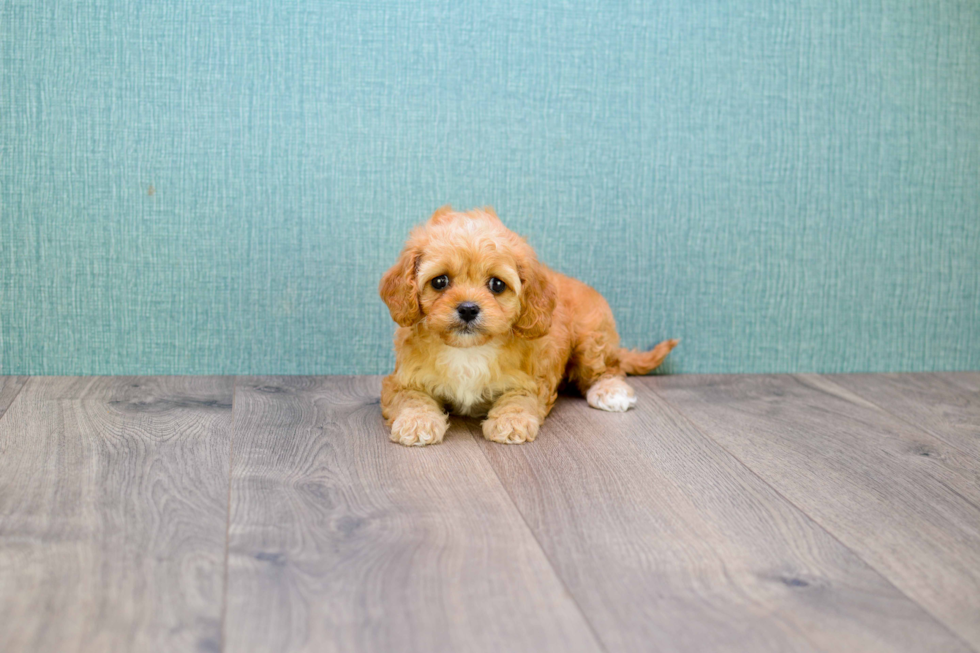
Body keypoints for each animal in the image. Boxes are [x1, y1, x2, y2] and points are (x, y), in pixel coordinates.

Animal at [378, 206, 676, 446]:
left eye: (497, 284)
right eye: (440, 281)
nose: (468, 308)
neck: (469, 350)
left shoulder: (529, 381)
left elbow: (518, 399)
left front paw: (511, 422)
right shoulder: (404, 380)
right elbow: (412, 398)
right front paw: (417, 422)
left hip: (591, 340)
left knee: (608, 368)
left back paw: (611, 391)